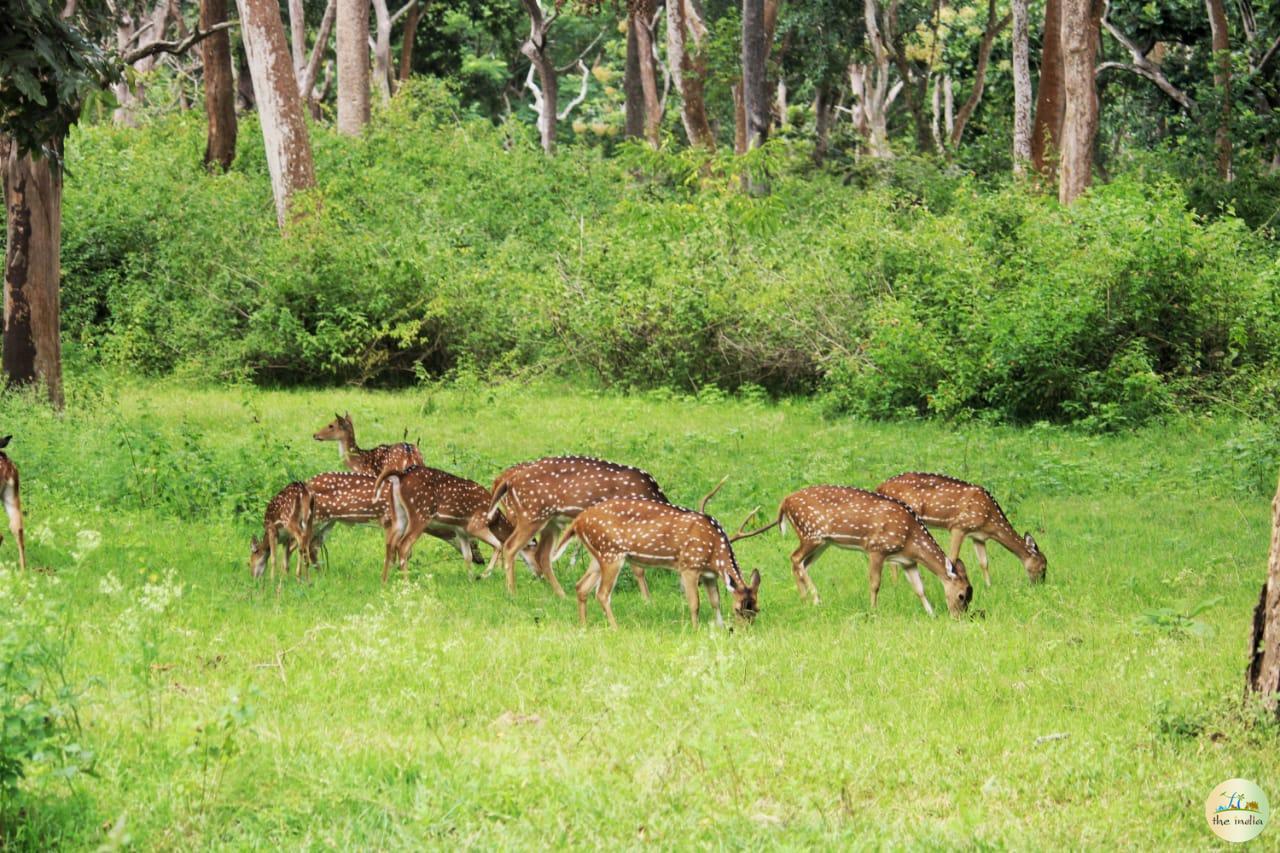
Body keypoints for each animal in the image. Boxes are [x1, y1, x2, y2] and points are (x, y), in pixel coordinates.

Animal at [378, 466, 540, 578]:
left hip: (399, 515)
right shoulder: (476, 524)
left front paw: (471, 578)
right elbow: (498, 545)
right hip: (420, 514)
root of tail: (400, 475)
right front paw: (483, 575)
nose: (540, 573)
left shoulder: (461, 531)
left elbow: (468, 555)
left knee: (390, 543)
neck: (495, 519)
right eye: (533, 549)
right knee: (403, 545)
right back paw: (406, 581)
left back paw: (385, 580)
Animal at [483, 455, 670, 594]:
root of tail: (506, 481)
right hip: (531, 514)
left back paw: (561, 594)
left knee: (541, 555)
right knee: (510, 546)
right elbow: (638, 568)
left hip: (550, 522)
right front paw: (647, 600)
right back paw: (512, 592)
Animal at [552, 499, 757, 625]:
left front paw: (720, 627)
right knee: (602, 593)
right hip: (611, 553)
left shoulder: (708, 575)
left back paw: (584, 625)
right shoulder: (689, 565)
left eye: (756, 609)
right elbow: (695, 602)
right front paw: (696, 629)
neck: (714, 553)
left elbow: (715, 601)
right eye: (738, 609)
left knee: (581, 586)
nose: (743, 631)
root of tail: (578, 521)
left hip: (598, 556)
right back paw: (615, 627)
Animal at [732, 481, 967, 614]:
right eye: (962, 595)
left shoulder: (907, 561)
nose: (959, 616)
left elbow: (919, 588)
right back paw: (815, 598)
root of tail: (784, 502)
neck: (910, 537)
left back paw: (805, 599)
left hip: (822, 542)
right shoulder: (876, 548)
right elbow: (875, 583)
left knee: (800, 563)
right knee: (795, 558)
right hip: (812, 533)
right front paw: (873, 611)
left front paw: (930, 613)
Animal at [875, 471, 1044, 584]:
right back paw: (896, 585)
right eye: (1043, 566)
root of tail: (880, 487)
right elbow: (953, 557)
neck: (990, 519)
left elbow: (984, 562)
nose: (1040, 584)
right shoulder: (959, 526)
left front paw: (988, 586)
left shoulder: (978, 536)